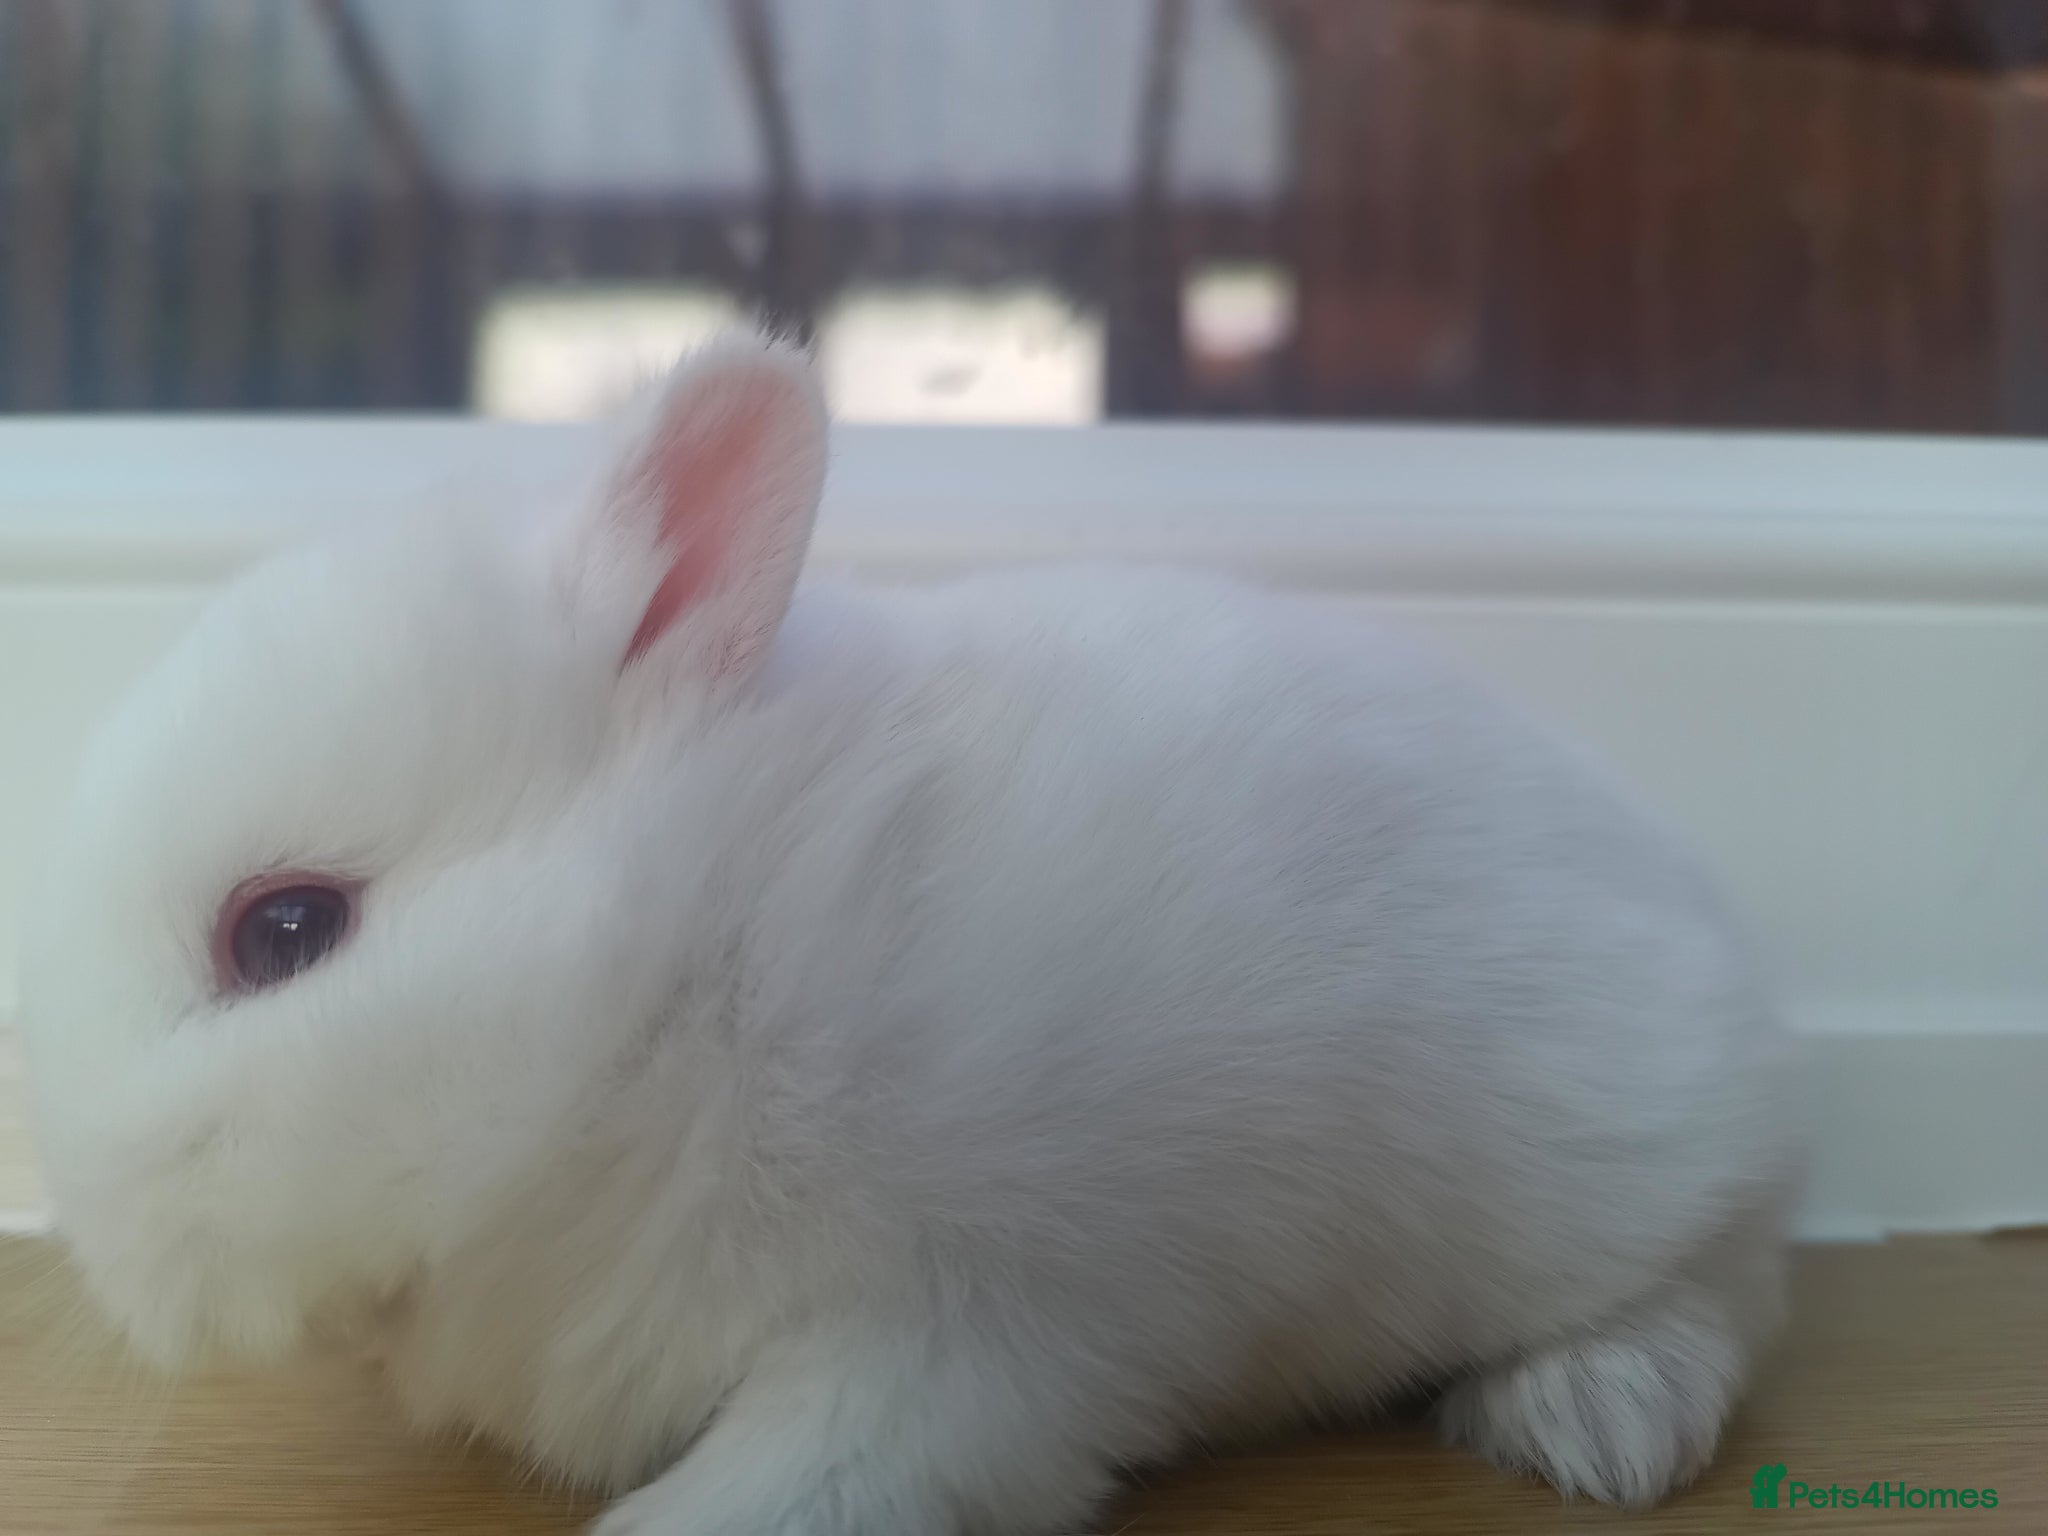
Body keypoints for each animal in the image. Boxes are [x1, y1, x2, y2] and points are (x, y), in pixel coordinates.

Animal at [19, 332, 1799, 1536]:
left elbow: (797, 1485)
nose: (97, 1231)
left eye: (286, 929)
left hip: (1610, 1168)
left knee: (1721, 1280)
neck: (678, 990)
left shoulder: (969, 1329)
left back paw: (1589, 1423)